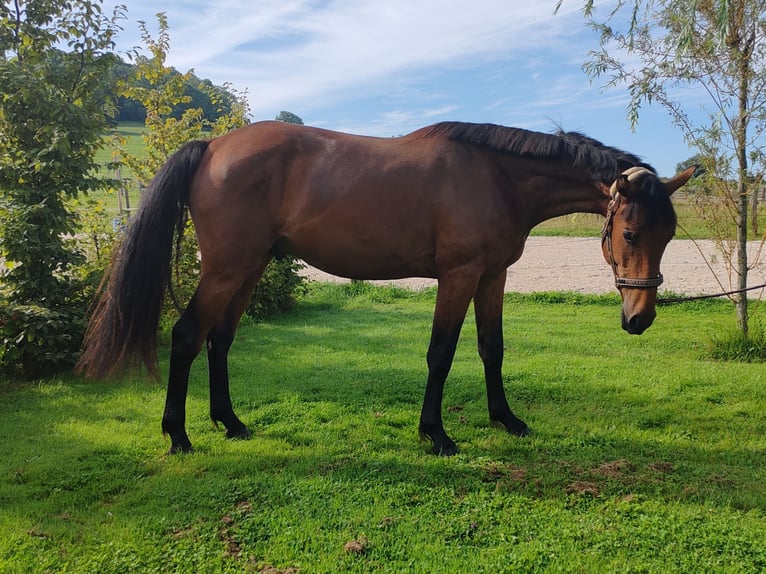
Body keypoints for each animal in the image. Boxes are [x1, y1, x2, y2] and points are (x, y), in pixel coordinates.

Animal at [76, 120, 696, 454]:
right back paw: (178, 436)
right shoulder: (459, 275)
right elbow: (441, 354)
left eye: (669, 234)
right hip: (226, 270)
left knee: (219, 341)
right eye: (631, 231)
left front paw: (507, 419)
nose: (640, 317)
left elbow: (491, 350)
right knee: (186, 336)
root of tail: (212, 147)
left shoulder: (492, 276)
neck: (496, 176)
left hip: (247, 270)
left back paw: (231, 424)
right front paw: (437, 435)